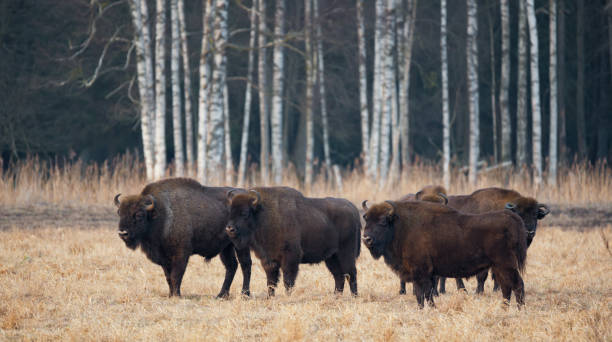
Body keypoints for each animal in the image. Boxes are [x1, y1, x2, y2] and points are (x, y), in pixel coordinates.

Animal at [113, 178, 250, 298]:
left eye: (139, 215)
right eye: (120, 213)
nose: (123, 232)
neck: (162, 214)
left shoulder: (181, 254)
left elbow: (176, 275)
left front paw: (177, 295)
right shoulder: (164, 258)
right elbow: (168, 277)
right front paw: (170, 295)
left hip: (240, 245)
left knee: (245, 264)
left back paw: (245, 294)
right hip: (226, 247)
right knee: (231, 266)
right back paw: (221, 295)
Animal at [225, 187, 360, 296]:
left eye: (245, 213)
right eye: (230, 212)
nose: (229, 229)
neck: (262, 215)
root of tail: (353, 209)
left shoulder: (290, 257)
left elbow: (288, 280)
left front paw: (287, 296)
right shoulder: (268, 260)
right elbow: (271, 281)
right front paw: (270, 296)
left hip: (345, 253)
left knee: (351, 273)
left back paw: (354, 296)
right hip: (331, 257)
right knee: (339, 276)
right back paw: (337, 296)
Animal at [360, 199, 528, 308]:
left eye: (383, 221)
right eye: (366, 219)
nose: (366, 238)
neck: (400, 226)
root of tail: (511, 218)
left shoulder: (421, 272)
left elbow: (424, 293)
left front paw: (428, 308)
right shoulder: (422, 274)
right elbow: (423, 294)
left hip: (505, 264)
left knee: (517, 284)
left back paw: (520, 309)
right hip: (498, 266)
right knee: (506, 287)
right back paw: (504, 308)